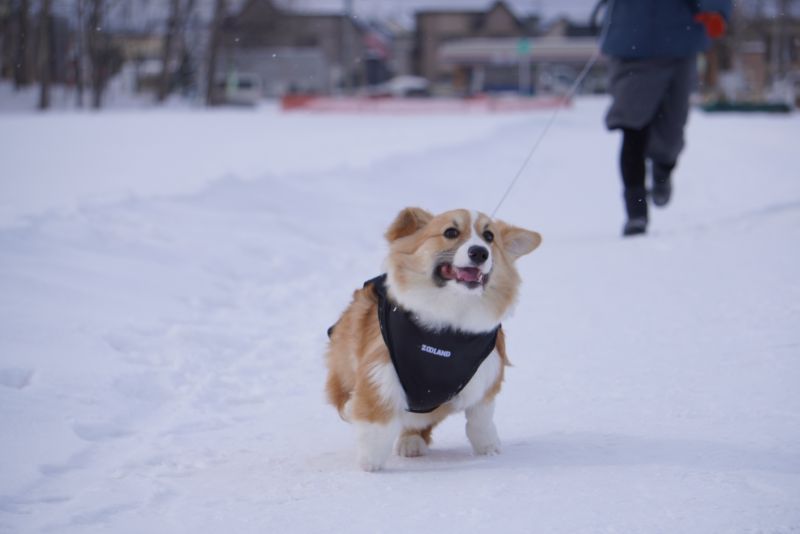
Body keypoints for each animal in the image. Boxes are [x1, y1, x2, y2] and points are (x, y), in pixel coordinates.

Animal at [324, 209, 544, 474]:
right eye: (450, 232)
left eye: (489, 236)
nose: (480, 252)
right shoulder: (379, 370)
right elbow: (377, 420)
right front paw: (370, 462)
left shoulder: (488, 374)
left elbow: (480, 418)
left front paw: (488, 447)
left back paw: (412, 442)